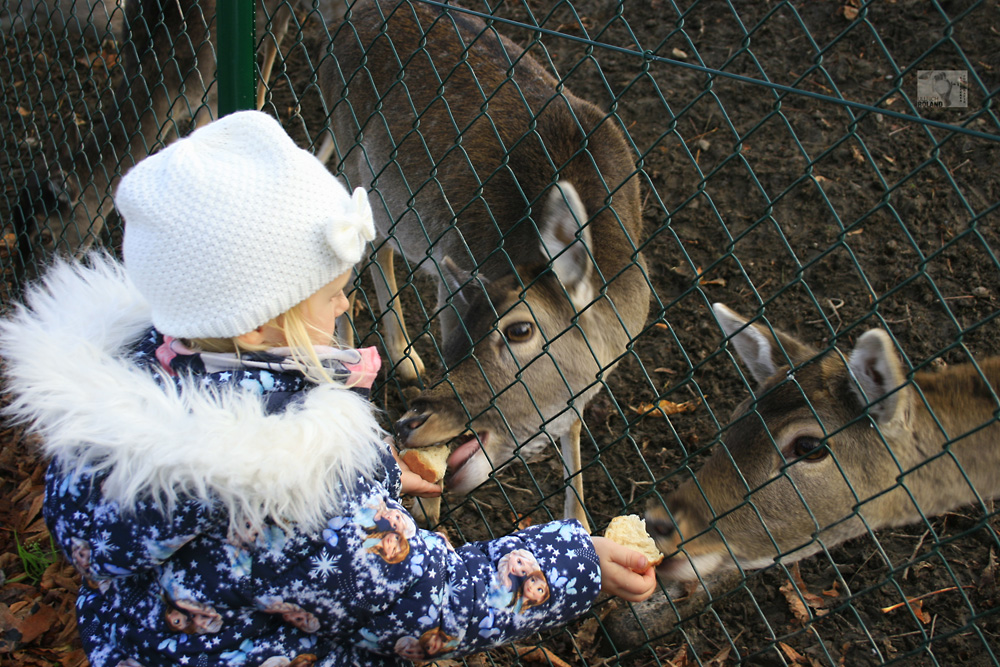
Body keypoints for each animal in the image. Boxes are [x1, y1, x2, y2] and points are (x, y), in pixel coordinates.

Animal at [316, 0, 652, 532]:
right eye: (462, 328)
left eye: (519, 330)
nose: (411, 423)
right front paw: (424, 504)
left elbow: (573, 426)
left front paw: (578, 519)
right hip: (350, 150)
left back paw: (401, 358)